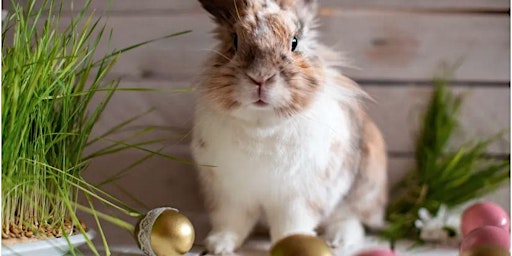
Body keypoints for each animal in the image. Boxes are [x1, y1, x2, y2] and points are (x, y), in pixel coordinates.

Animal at [191, 0, 388, 253]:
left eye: (294, 42)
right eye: (234, 40)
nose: (261, 77)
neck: (262, 124)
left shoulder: (298, 198)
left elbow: (291, 224)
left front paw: (293, 243)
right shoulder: (230, 195)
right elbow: (230, 222)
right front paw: (219, 245)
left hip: (364, 188)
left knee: (350, 218)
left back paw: (338, 240)